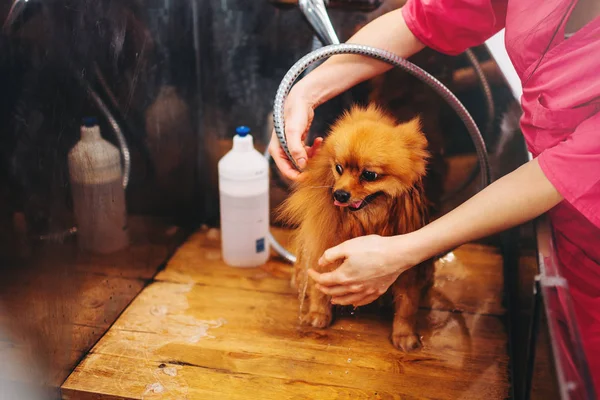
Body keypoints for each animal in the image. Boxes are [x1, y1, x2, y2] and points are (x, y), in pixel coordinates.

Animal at [276, 104, 436, 354]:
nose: (339, 194)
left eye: (369, 175)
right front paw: (318, 314)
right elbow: (320, 288)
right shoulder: (324, 250)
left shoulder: (407, 273)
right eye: (338, 168)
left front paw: (404, 335)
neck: (365, 221)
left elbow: (407, 307)